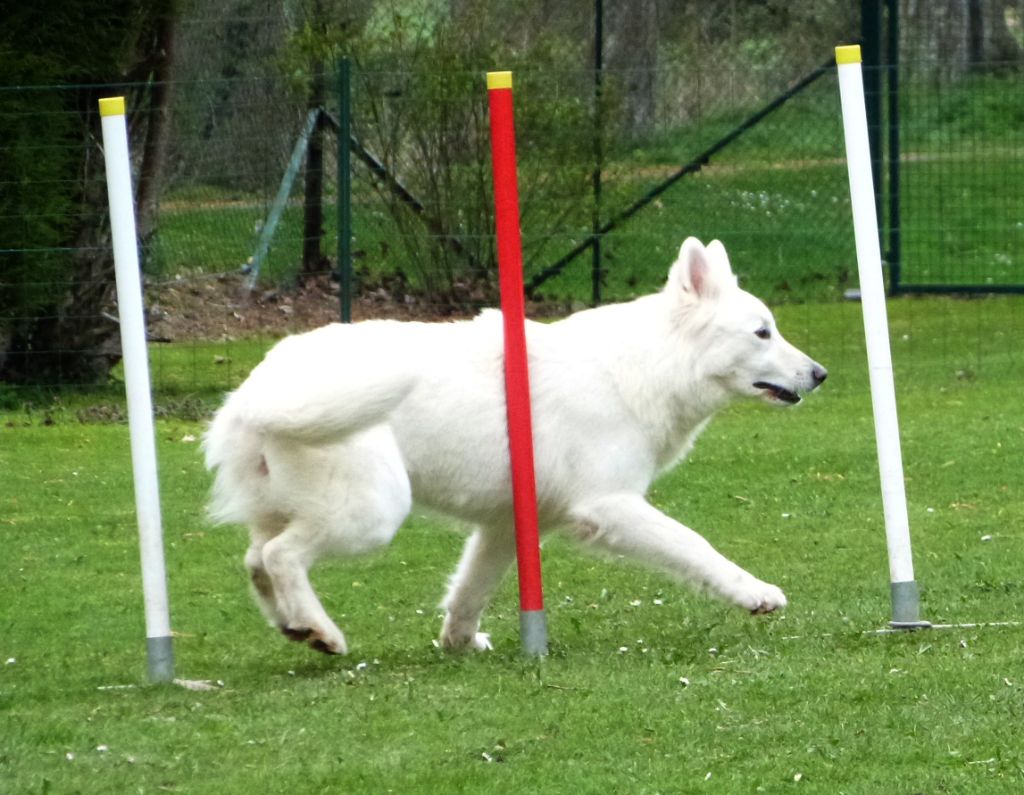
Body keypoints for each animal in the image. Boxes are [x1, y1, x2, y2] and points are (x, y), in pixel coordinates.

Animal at [203, 238, 827, 655]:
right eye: (762, 333)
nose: (820, 375)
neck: (648, 365)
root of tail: (258, 390)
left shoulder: (507, 525)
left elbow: (470, 591)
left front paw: (458, 642)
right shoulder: (611, 506)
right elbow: (696, 546)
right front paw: (754, 593)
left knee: (256, 559)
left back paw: (295, 626)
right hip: (371, 513)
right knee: (281, 555)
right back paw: (322, 632)